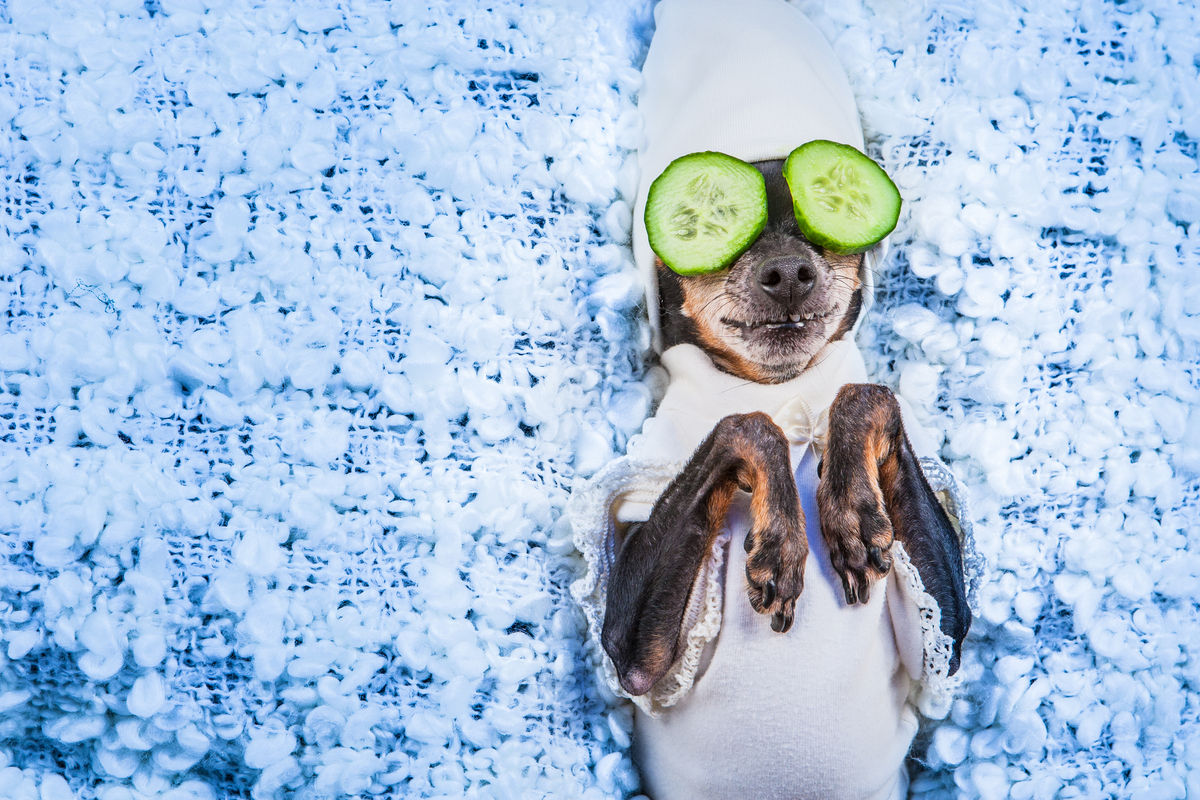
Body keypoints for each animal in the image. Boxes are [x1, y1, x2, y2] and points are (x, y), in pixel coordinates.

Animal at [597, 159, 964, 695]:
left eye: (826, 225)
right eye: (718, 227)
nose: (788, 271)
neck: (779, 386)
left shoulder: (941, 637)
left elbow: (868, 392)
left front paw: (851, 511)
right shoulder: (637, 659)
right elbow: (747, 424)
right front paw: (782, 544)